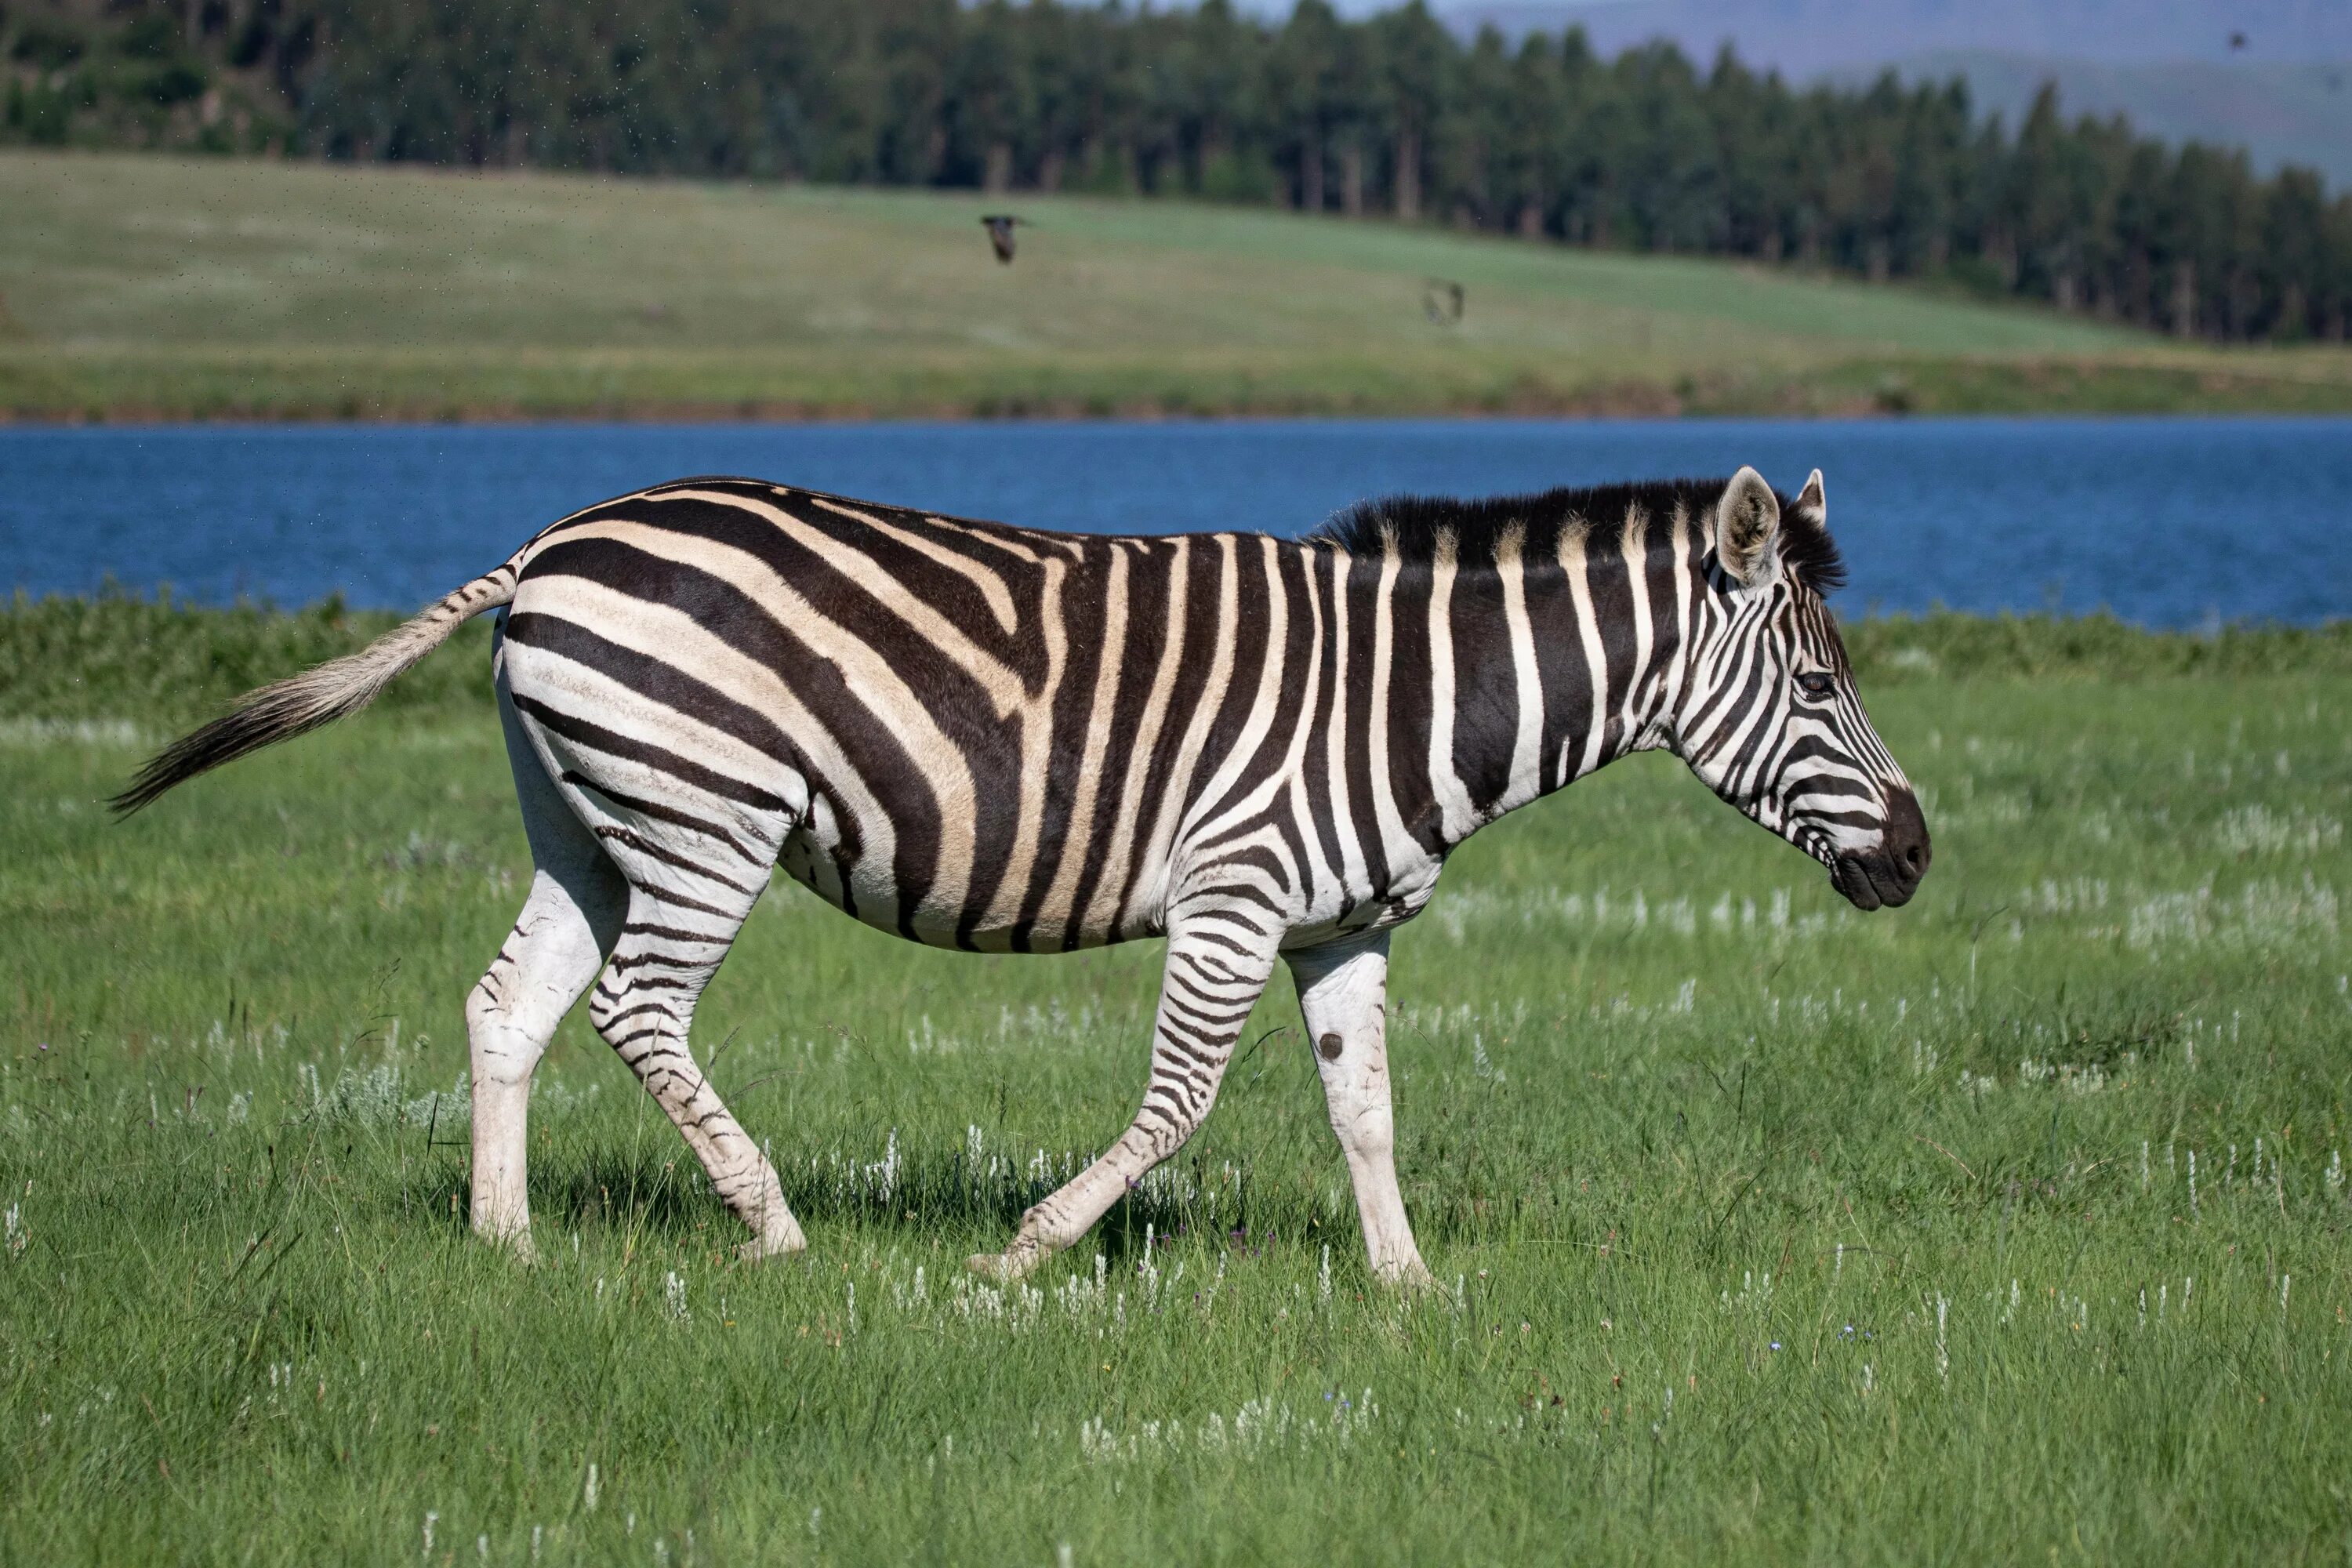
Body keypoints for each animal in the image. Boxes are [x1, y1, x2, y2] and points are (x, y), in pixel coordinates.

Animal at [114, 465, 1929, 1288]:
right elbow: (1180, 1105)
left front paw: (1409, 1289)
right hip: (709, 815)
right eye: (1820, 684)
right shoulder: (1235, 894)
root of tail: (554, 538)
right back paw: (773, 1228)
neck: (1407, 701)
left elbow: (1367, 1111)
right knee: (638, 1012)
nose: (1917, 856)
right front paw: (1022, 1253)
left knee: (511, 1006)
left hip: (589, 818)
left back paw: (507, 1247)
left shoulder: (1340, 930)